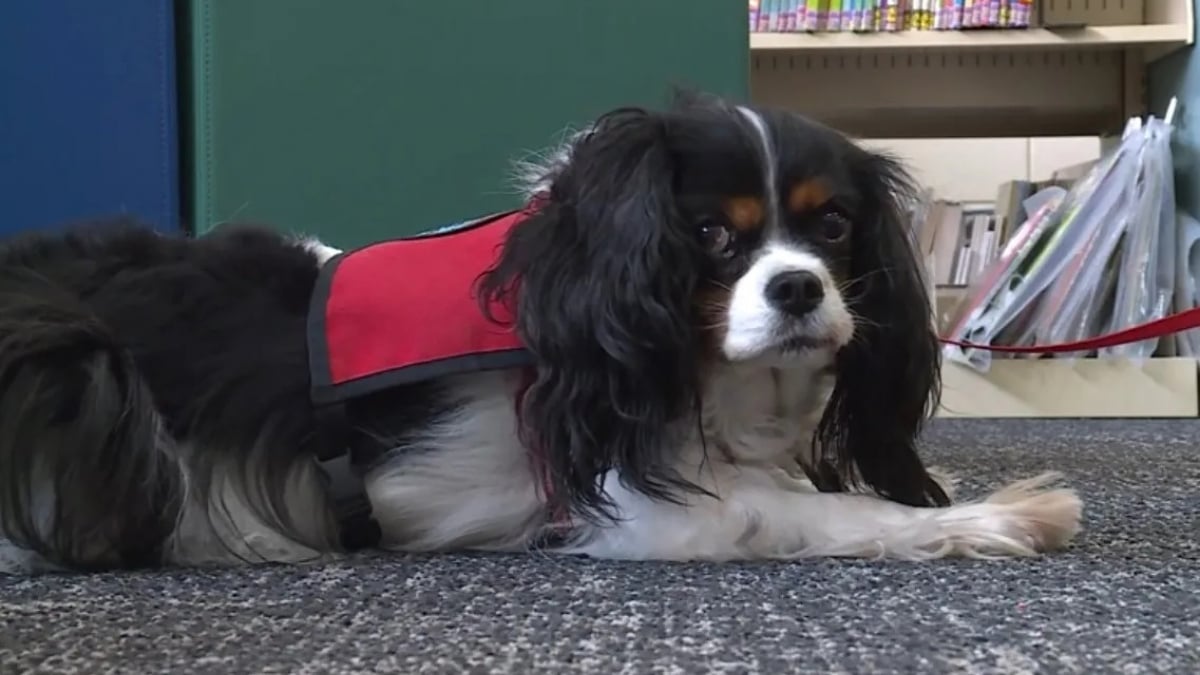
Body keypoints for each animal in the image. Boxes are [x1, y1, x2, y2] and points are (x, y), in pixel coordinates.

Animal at [0, 91, 1089, 569]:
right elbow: (827, 511)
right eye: (709, 235)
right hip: (76, 361)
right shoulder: (640, 504)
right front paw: (996, 516)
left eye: (831, 229)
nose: (798, 290)